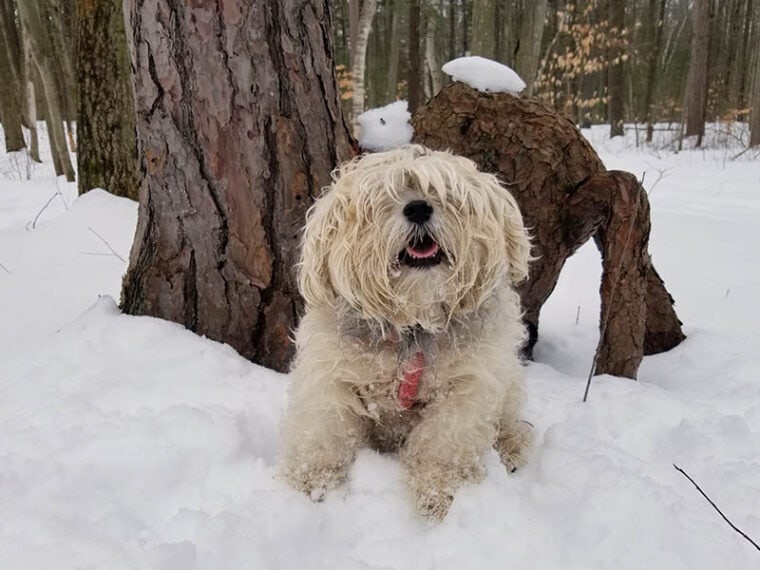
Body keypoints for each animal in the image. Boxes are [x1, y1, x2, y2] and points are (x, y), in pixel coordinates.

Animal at [280, 144, 536, 516]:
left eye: (443, 192)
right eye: (382, 197)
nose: (418, 207)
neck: (413, 326)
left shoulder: (468, 388)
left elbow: (443, 446)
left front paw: (438, 495)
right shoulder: (331, 378)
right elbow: (325, 434)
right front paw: (310, 483)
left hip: (509, 382)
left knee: (511, 419)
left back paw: (513, 444)